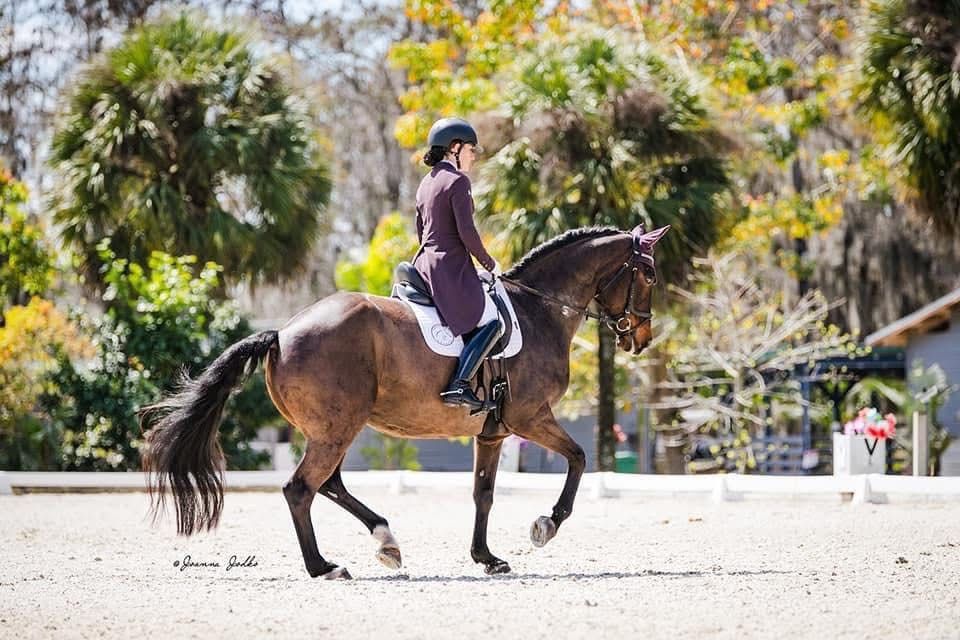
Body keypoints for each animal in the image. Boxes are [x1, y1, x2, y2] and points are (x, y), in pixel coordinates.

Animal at [141, 225, 668, 580]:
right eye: (649, 275)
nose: (640, 338)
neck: (538, 309)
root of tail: (282, 332)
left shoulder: (493, 432)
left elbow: (483, 493)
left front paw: (487, 558)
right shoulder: (530, 417)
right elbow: (578, 458)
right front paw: (546, 525)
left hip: (331, 429)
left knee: (329, 485)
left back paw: (386, 542)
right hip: (336, 430)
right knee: (301, 489)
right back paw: (324, 566)